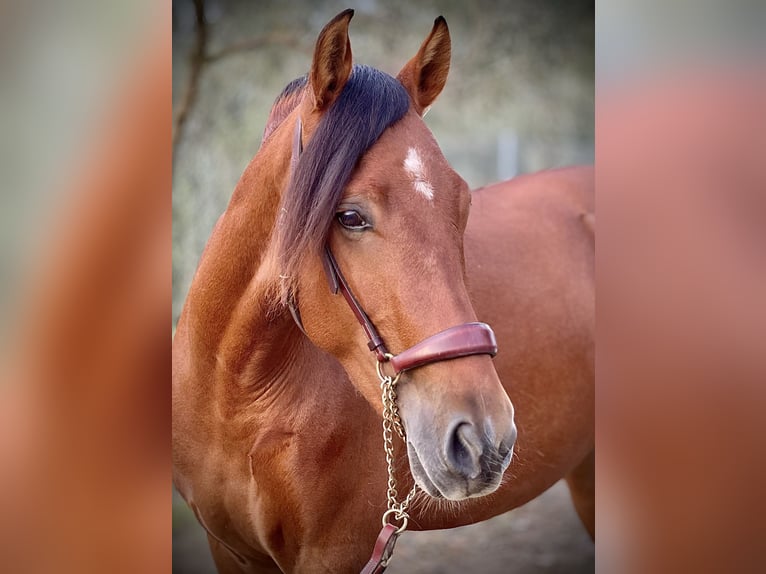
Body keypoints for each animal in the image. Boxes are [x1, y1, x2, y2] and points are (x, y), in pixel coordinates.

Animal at [172, 10, 592, 574]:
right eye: (349, 216)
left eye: (463, 205)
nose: (484, 440)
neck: (236, 401)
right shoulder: (231, 550)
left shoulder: (332, 554)